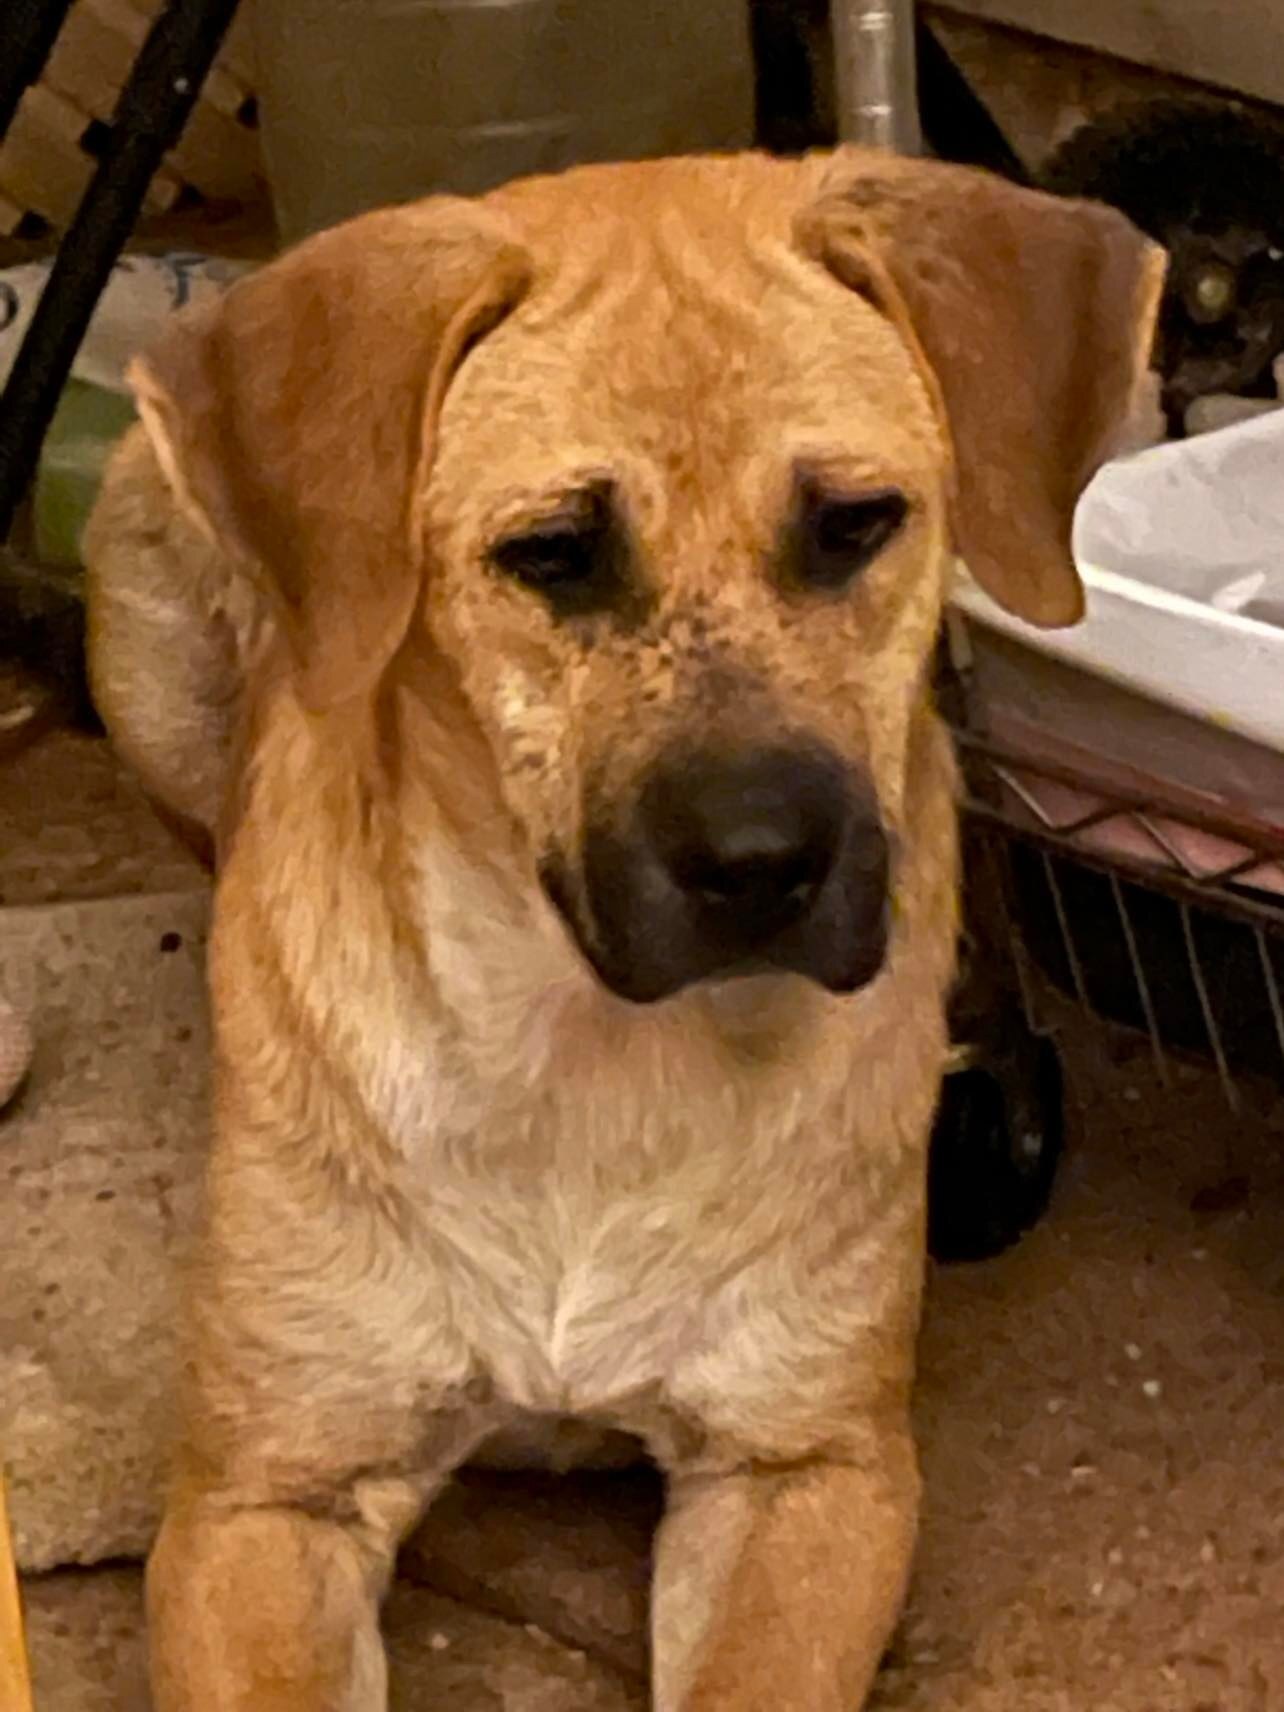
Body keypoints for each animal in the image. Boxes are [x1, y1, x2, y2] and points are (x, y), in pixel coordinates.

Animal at [83, 150, 1164, 1712]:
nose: (765, 862)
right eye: (552, 554)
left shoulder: (807, 1470)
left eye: (857, 522)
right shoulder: (263, 1502)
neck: (585, 1049)